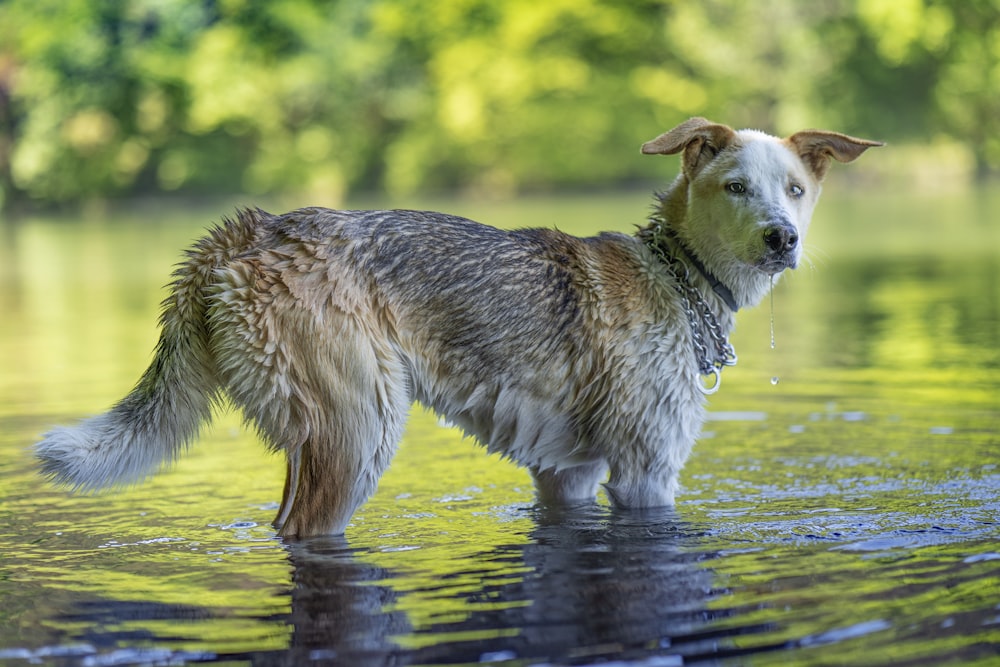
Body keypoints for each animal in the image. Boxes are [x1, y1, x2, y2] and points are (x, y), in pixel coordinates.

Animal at [33, 118, 884, 536]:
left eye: (795, 188)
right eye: (735, 186)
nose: (782, 238)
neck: (674, 273)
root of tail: (248, 230)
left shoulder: (567, 475)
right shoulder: (646, 475)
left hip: (322, 436)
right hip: (358, 431)